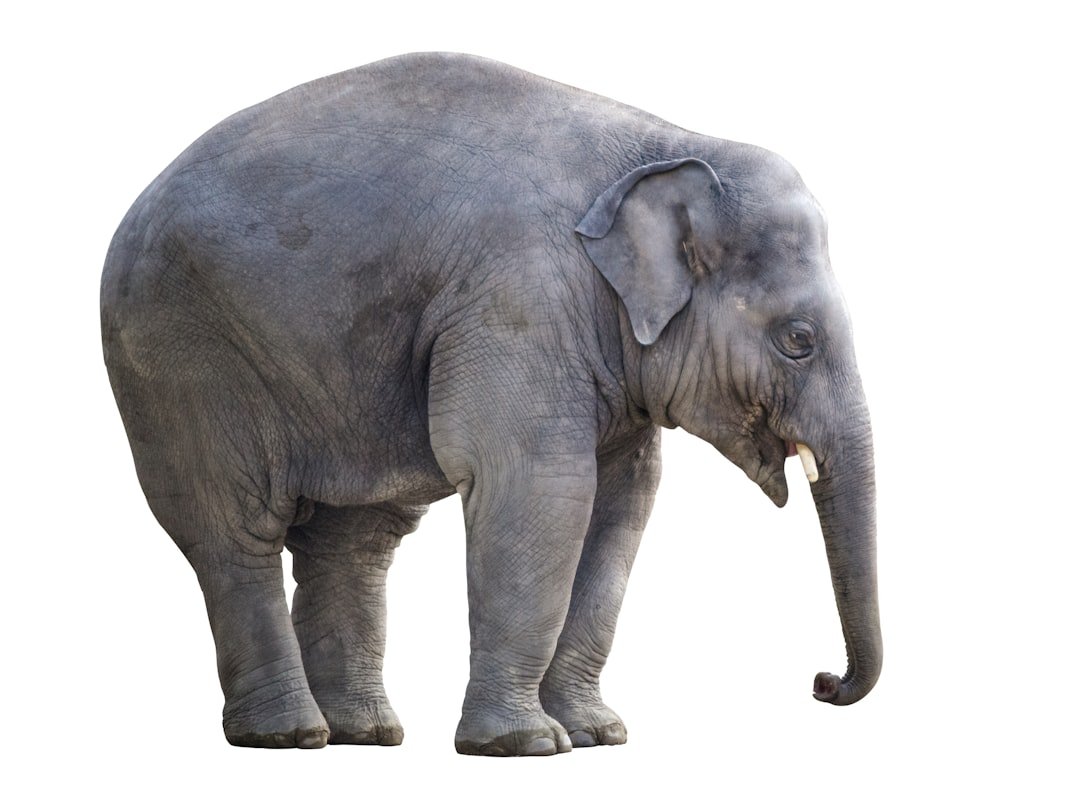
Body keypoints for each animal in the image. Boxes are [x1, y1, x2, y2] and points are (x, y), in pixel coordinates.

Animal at [100, 52, 880, 755]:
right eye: (799, 340)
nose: (821, 681)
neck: (668, 144)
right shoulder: (517, 299)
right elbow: (542, 487)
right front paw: (526, 744)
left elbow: (622, 504)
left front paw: (598, 736)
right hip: (181, 356)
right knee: (236, 532)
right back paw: (287, 735)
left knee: (357, 538)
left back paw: (363, 734)